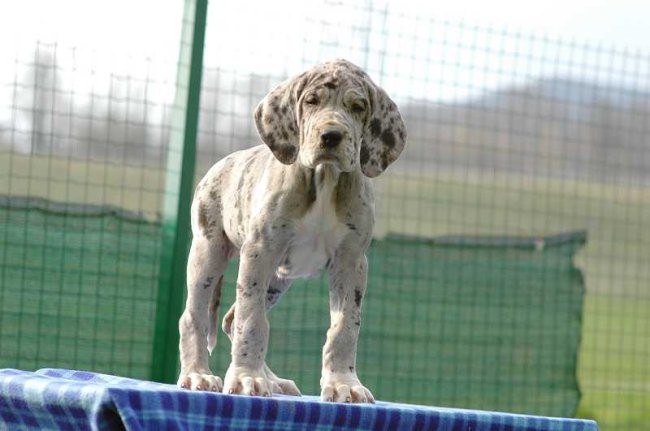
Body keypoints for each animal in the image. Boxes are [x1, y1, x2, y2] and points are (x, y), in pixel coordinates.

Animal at [177, 59, 404, 404]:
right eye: (311, 101)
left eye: (358, 107)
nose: (331, 136)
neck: (324, 178)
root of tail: (221, 163)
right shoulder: (260, 251)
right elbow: (252, 320)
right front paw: (247, 378)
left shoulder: (351, 261)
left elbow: (345, 327)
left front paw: (343, 383)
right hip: (208, 254)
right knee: (196, 316)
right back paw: (198, 374)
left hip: (277, 279)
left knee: (231, 319)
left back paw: (274, 380)